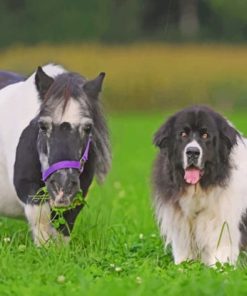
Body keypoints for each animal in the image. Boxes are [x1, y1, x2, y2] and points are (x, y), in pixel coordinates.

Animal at [0, 65, 111, 245]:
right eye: (43, 126)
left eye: (88, 128)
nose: (62, 187)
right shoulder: (29, 190)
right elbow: (42, 222)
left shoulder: (78, 195)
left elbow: (63, 228)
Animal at [151, 105, 247, 264]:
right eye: (183, 134)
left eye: (205, 135)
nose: (192, 152)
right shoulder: (182, 229)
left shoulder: (223, 227)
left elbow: (221, 258)